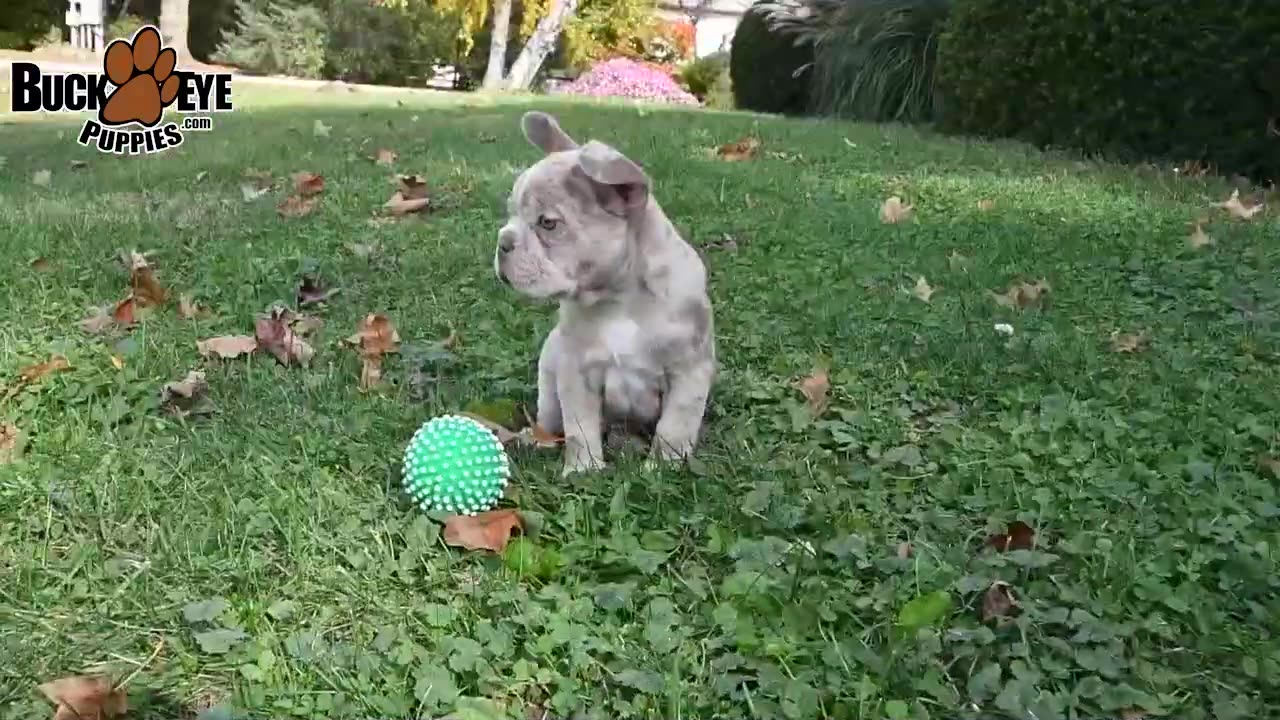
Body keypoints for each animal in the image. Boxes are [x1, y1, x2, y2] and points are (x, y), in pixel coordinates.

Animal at [494, 109, 716, 474]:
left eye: (548, 223)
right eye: (510, 214)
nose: (503, 241)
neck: (621, 298)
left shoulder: (689, 371)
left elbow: (675, 424)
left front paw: (664, 467)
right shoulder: (575, 370)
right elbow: (579, 427)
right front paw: (583, 470)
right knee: (551, 418)